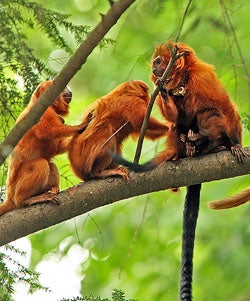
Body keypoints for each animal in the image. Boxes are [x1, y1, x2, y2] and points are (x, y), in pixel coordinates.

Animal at [0, 79, 86, 216]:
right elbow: (47, 131)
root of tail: (9, 197)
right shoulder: (43, 112)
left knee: (51, 165)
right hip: (15, 189)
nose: (69, 90)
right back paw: (25, 200)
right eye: (63, 87)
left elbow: (54, 147)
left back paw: (52, 189)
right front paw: (79, 127)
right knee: (41, 164)